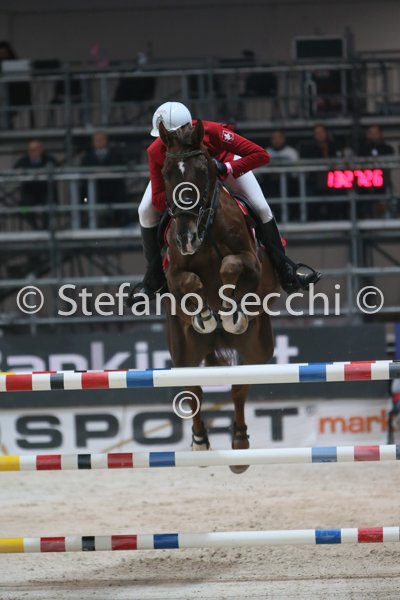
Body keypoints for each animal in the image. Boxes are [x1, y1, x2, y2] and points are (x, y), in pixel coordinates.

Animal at [159, 120, 278, 473]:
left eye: (201, 171)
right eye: (165, 172)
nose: (185, 238)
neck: (205, 227)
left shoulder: (251, 264)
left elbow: (230, 266)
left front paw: (229, 311)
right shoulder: (174, 276)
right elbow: (190, 283)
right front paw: (206, 315)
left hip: (258, 349)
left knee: (239, 388)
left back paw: (239, 446)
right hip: (183, 350)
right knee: (192, 390)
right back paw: (200, 443)